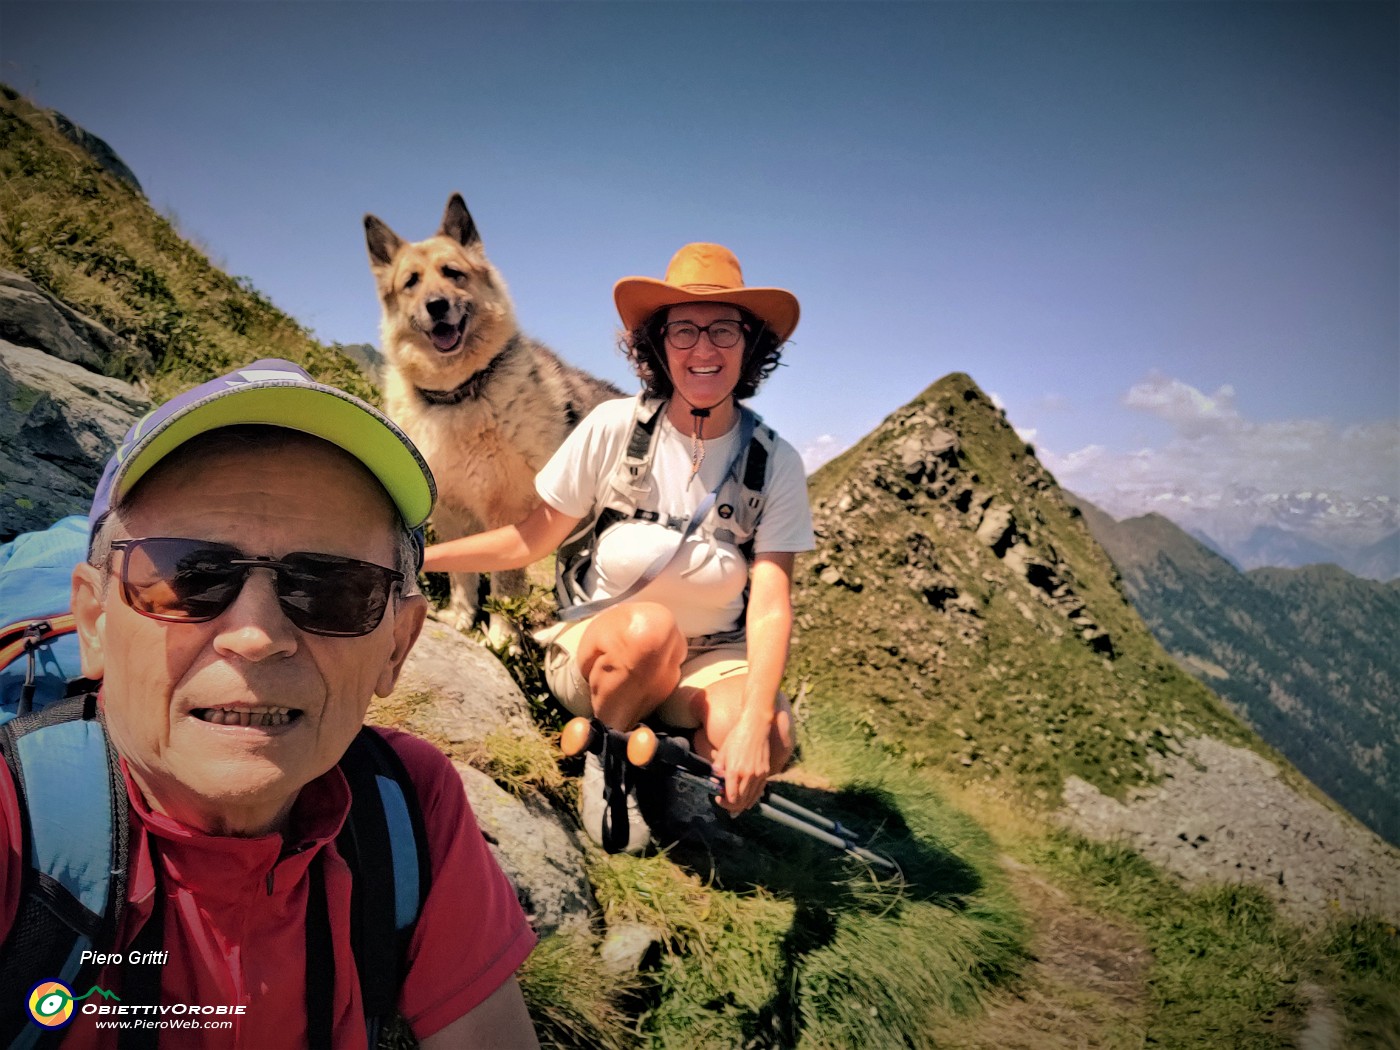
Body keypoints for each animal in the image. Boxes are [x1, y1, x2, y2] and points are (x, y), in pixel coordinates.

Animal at [364, 193, 621, 638]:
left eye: (453, 273)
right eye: (411, 282)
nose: (437, 306)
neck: (459, 394)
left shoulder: (511, 517)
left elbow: (505, 588)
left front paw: (503, 639)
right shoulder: (451, 514)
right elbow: (462, 575)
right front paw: (462, 617)